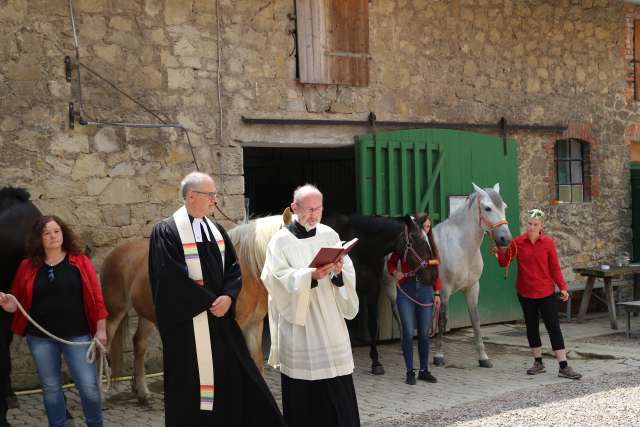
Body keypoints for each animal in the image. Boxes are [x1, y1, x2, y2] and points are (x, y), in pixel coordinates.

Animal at [382, 183, 512, 368]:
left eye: (504, 207)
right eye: (487, 208)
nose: (505, 239)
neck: (462, 247)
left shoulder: (473, 288)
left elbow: (476, 320)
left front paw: (483, 357)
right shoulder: (444, 290)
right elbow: (442, 319)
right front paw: (438, 356)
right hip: (391, 288)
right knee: (398, 313)